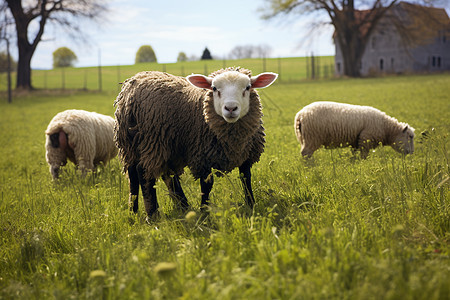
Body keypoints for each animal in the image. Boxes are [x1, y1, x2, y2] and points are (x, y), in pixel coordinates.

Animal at [113, 67, 278, 218]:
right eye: (214, 88)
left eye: (248, 87)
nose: (230, 108)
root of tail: (129, 91)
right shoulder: (202, 157)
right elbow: (207, 185)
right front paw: (204, 212)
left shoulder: (245, 155)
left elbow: (246, 179)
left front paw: (251, 204)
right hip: (153, 141)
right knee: (143, 173)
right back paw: (152, 214)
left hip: (137, 145)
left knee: (137, 174)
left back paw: (138, 210)